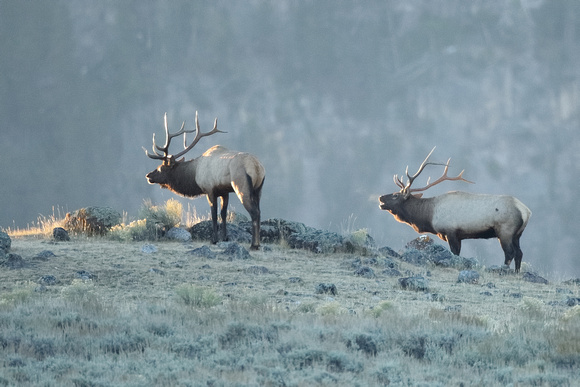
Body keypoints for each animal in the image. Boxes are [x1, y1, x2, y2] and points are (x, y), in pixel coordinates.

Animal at [145, 112, 266, 252]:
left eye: (160, 168)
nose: (148, 175)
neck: (194, 174)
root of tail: (257, 167)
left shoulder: (209, 189)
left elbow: (213, 214)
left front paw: (214, 239)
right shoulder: (224, 192)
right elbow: (223, 214)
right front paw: (225, 238)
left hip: (241, 186)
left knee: (254, 213)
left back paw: (254, 245)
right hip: (258, 189)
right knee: (259, 212)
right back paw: (258, 243)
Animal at [378, 149, 532, 272]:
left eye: (395, 195)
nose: (381, 197)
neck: (429, 215)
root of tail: (526, 211)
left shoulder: (451, 232)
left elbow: (455, 254)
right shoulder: (458, 235)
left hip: (505, 231)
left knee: (510, 253)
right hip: (517, 234)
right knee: (519, 253)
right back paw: (517, 273)